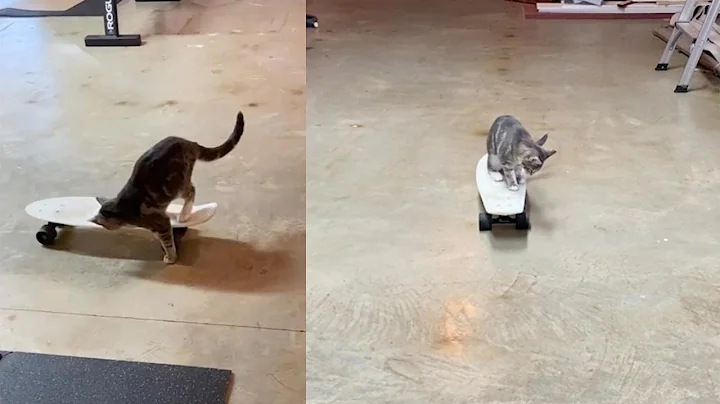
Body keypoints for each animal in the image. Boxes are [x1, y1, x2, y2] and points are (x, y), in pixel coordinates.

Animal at [90, 110, 246, 264]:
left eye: (104, 225)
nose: (104, 227)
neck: (124, 206)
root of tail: (190, 143)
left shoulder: (160, 224)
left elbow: (168, 242)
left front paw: (170, 257)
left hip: (179, 185)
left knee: (192, 190)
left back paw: (184, 215)